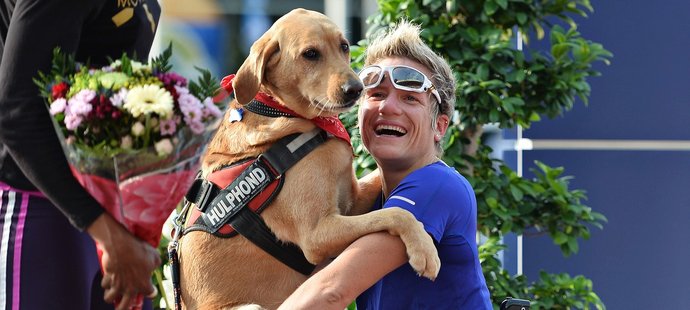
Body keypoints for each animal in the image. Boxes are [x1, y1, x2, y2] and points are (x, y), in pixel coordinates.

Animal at [176, 8, 436, 308]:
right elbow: (397, 213)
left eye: (344, 46)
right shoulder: (317, 233)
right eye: (310, 54)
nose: (356, 88)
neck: (283, 111)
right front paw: (424, 249)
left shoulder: (352, 201)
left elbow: (381, 195)